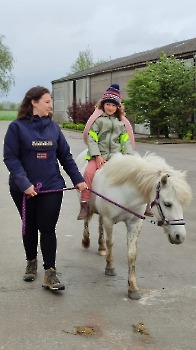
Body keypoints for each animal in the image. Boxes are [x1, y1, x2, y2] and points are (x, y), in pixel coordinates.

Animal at [76, 149, 191, 300]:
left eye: (182, 204)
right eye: (167, 204)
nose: (180, 237)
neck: (126, 194)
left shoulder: (135, 224)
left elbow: (132, 254)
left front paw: (133, 288)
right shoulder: (109, 220)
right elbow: (110, 242)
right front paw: (110, 267)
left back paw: (101, 247)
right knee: (86, 220)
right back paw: (85, 240)